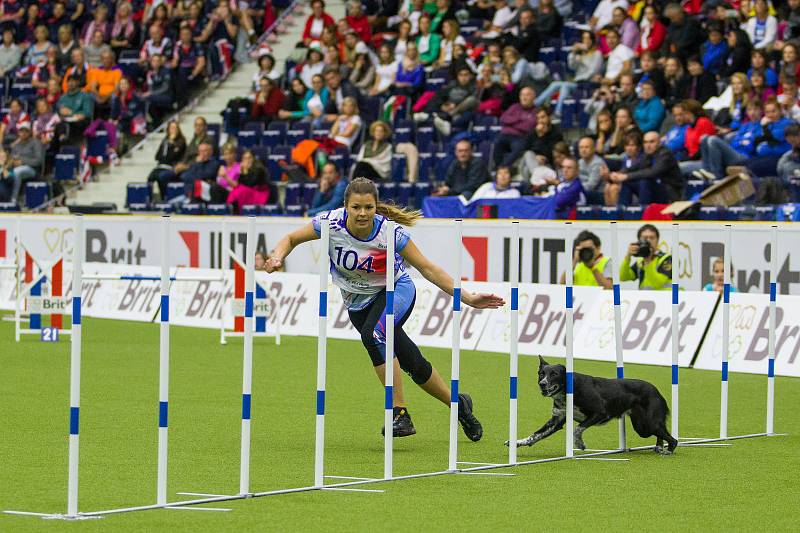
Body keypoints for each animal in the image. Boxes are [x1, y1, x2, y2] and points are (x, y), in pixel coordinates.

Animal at [506, 358, 676, 454]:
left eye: (554, 374)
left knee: (672, 439)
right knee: (662, 434)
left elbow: (577, 429)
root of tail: (656, 390)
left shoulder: (600, 413)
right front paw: (517, 442)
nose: (542, 384)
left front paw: (579, 444)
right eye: (541, 373)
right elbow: (535, 435)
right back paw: (659, 447)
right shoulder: (556, 421)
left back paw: (668, 450)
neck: (569, 389)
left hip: (649, 424)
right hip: (642, 427)